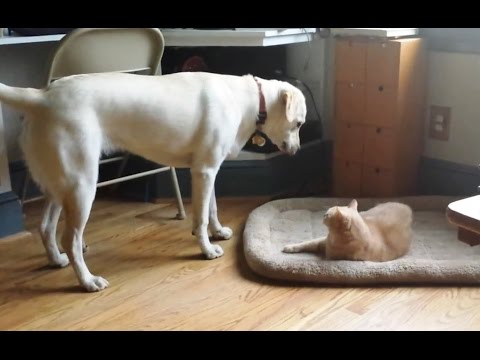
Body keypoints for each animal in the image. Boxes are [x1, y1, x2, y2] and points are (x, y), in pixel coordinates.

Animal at [0, 71, 308, 292]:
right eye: (299, 124)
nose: (297, 151)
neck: (249, 100)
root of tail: (42, 96)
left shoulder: (209, 169)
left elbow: (212, 208)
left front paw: (218, 231)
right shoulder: (204, 171)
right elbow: (200, 219)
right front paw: (207, 249)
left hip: (59, 185)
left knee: (45, 227)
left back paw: (56, 260)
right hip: (82, 185)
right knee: (71, 239)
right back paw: (87, 281)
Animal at [282, 200, 412, 262]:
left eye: (327, 215)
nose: (323, 215)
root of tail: (406, 206)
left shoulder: (331, 254)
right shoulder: (322, 242)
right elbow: (306, 243)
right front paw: (290, 247)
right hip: (366, 212)